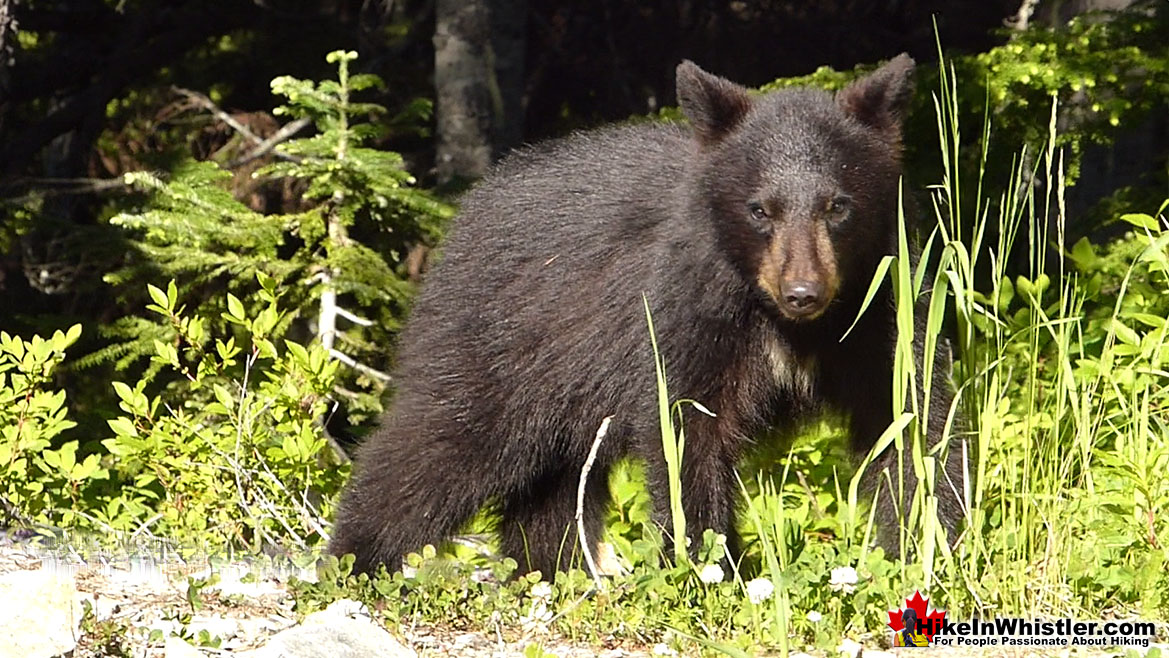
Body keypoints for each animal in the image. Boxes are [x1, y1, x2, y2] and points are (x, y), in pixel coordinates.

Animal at [324, 55, 963, 577]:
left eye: (837, 206)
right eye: (760, 209)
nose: (803, 291)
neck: (790, 326)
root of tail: (466, 209)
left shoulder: (880, 310)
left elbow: (912, 420)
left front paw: (929, 551)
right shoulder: (686, 313)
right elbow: (688, 430)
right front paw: (710, 567)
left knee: (556, 481)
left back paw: (549, 569)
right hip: (497, 341)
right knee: (439, 439)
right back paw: (355, 559)